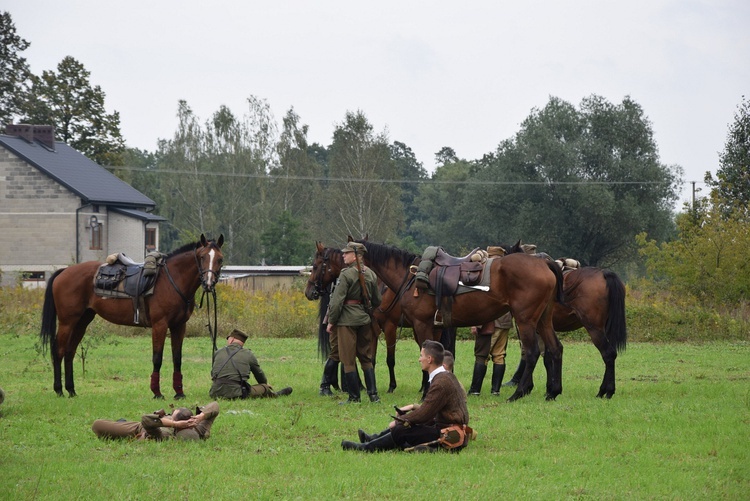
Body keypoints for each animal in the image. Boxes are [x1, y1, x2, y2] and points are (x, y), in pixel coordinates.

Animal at [41, 234, 223, 398]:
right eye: (202, 257)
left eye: (220, 259)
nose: (209, 283)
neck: (172, 280)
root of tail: (65, 271)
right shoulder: (160, 325)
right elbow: (157, 358)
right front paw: (157, 393)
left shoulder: (179, 326)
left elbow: (177, 359)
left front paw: (179, 393)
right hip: (67, 321)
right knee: (59, 350)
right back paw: (59, 390)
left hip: (82, 321)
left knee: (70, 351)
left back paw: (71, 390)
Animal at [356, 239, 564, 402]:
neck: (411, 277)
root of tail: (544, 264)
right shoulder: (435, 326)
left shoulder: (421, 324)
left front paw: (426, 392)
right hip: (543, 320)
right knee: (555, 348)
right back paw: (553, 392)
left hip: (526, 321)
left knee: (532, 353)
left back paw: (518, 393)